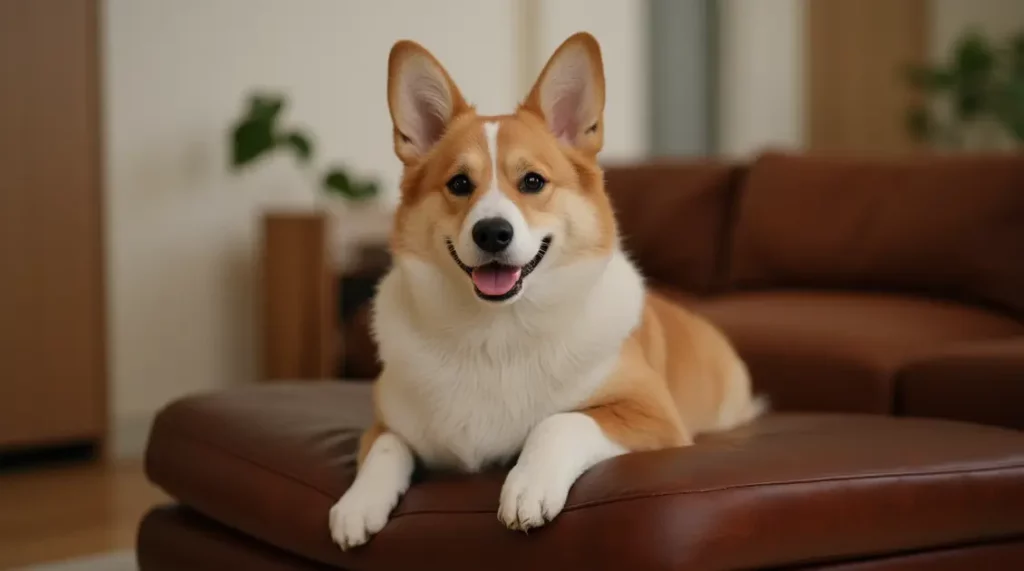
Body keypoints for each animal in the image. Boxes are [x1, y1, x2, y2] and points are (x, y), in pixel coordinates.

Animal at [325, 30, 761, 552]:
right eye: (459, 183)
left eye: (532, 181)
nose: (493, 233)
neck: (496, 333)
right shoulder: (386, 422)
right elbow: (386, 447)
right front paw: (356, 506)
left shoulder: (653, 416)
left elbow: (559, 421)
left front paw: (527, 487)